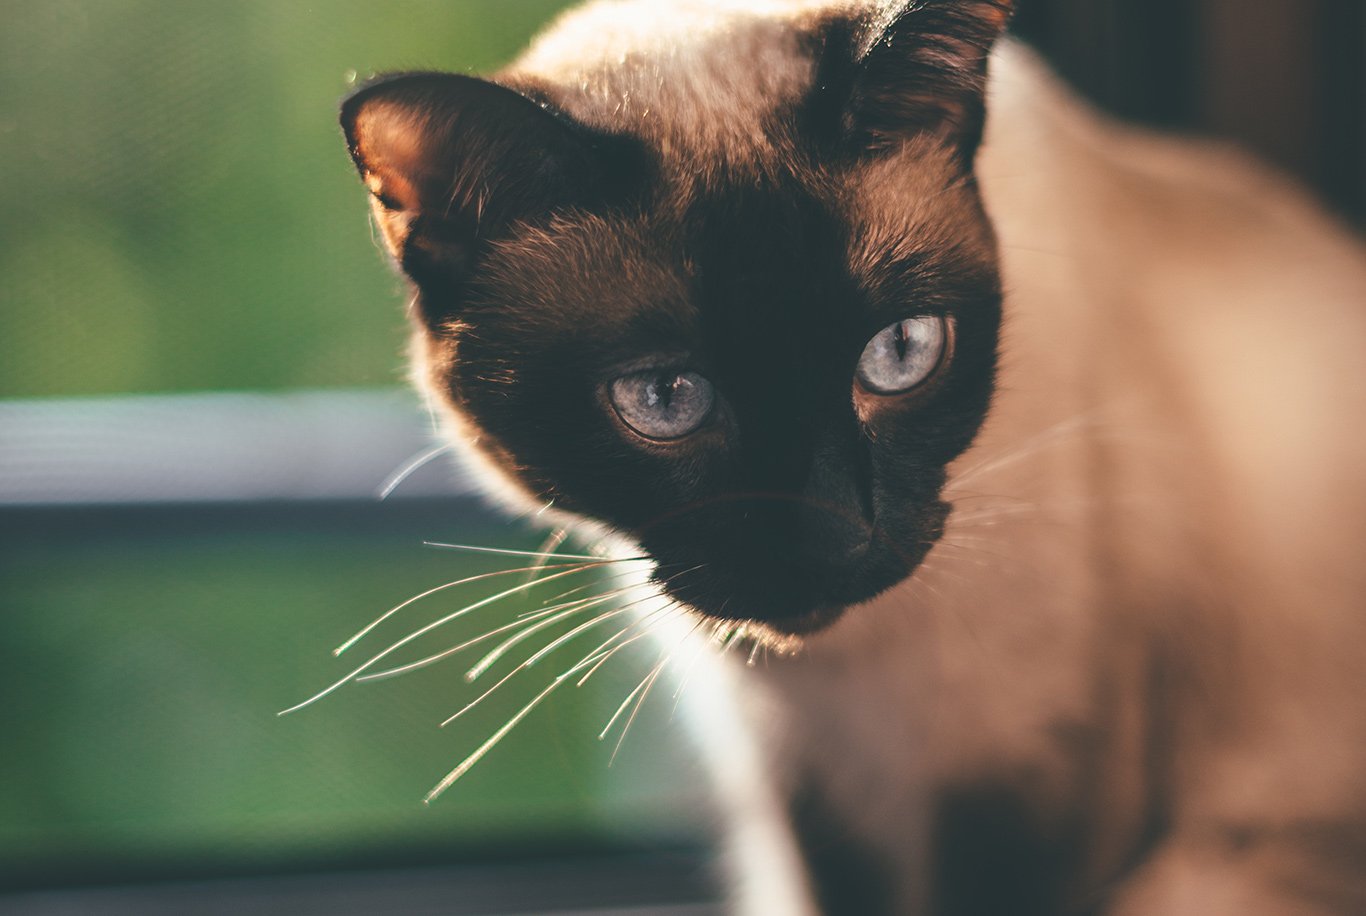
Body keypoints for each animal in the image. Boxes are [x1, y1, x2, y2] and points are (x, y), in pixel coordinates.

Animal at [333, 1, 1366, 916]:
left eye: (901, 352)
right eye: (664, 399)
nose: (834, 539)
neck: (840, 679)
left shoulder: (1035, 791)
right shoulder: (815, 800)